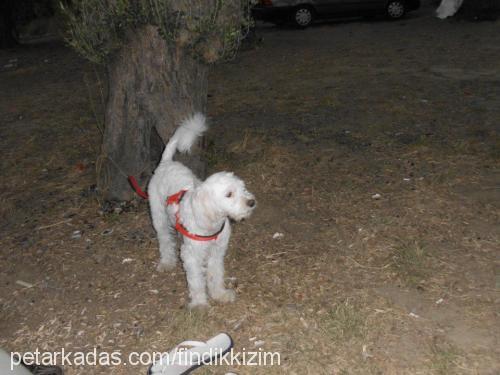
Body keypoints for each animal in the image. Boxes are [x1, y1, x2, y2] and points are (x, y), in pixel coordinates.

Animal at [147, 114, 258, 308]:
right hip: (159, 218)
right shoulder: (191, 256)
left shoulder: (217, 252)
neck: (212, 223)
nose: (251, 203)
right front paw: (199, 303)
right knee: (165, 241)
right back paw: (167, 262)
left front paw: (220, 294)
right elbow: (197, 281)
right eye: (229, 194)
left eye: (243, 188)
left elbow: (215, 275)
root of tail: (166, 163)